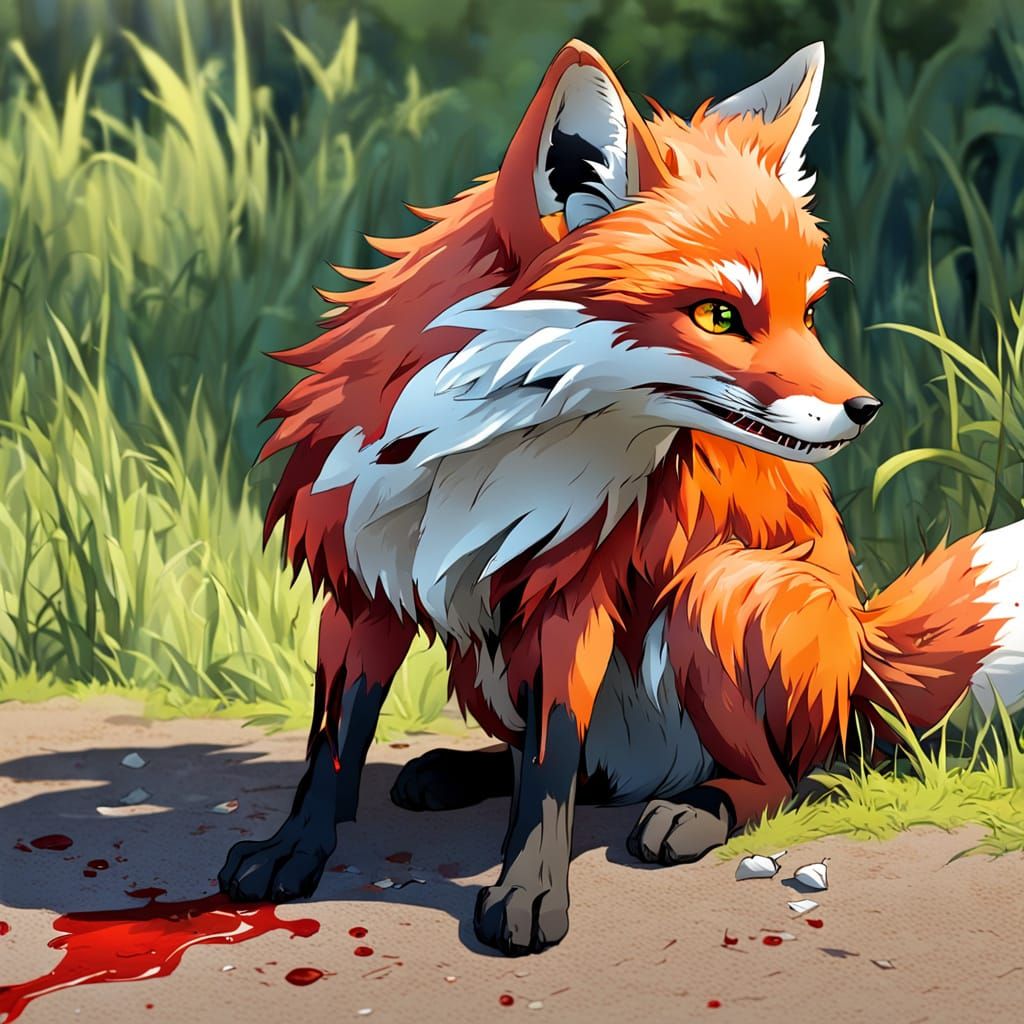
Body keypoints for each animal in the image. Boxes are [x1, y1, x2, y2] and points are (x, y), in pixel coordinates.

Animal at [218, 40, 1024, 955]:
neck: (480, 458)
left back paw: (696, 813)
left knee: (778, 777)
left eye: (810, 313)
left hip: (723, 594)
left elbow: (548, 771)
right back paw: (460, 771)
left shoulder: (573, 598)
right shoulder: (365, 585)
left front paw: (529, 896)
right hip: (485, 661)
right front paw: (292, 853)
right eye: (717, 315)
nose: (866, 409)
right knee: (585, 772)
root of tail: (862, 648)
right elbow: (332, 748)